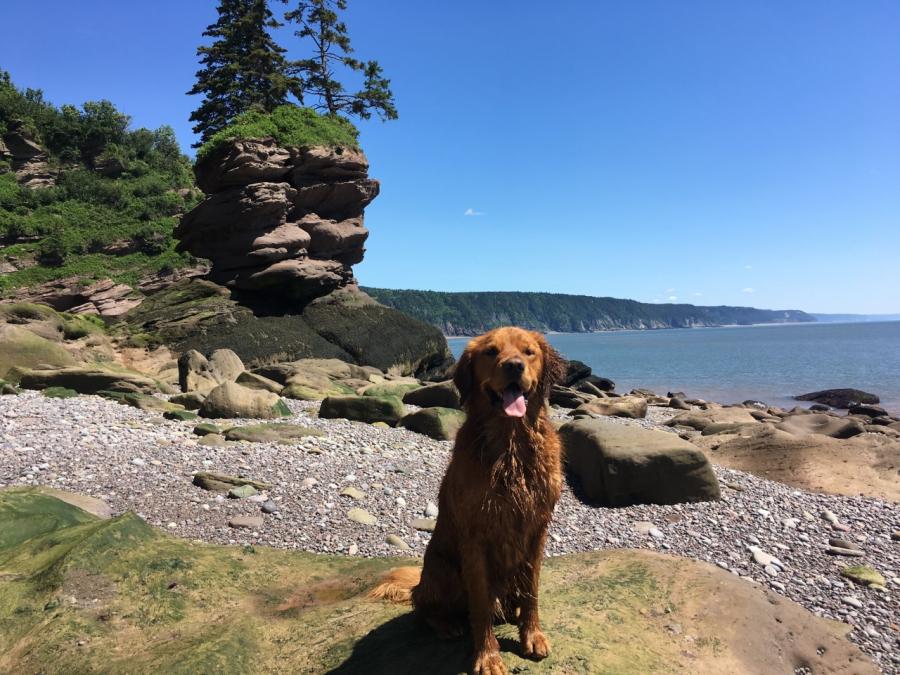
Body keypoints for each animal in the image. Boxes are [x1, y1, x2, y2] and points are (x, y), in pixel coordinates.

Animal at [370, 328, 568, 675]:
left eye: (528, 352)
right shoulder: (476, 537)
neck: (510, 444)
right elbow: (480, 606)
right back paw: (447, 624)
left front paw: (532, 634)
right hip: (443, 569)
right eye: (491, 352)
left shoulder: (537, 529)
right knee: (423, 604)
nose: (514, 366)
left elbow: (532, 590)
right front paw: (487, 656)